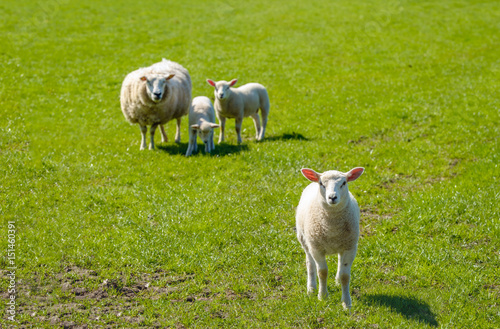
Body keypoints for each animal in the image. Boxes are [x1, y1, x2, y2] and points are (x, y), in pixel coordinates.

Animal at [294, 168, 366, 308]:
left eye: (344, 183)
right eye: (322, 183)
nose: (332, 197)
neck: (332, 228)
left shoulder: (350, 247)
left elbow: (345, 276)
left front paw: (346, 303)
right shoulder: (316, 248)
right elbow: (322, 272)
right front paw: (322, 296)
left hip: (342, 242)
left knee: (339, 260)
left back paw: (337, 280)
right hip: (305, 239)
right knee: (310, 263)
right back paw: (311, 288)